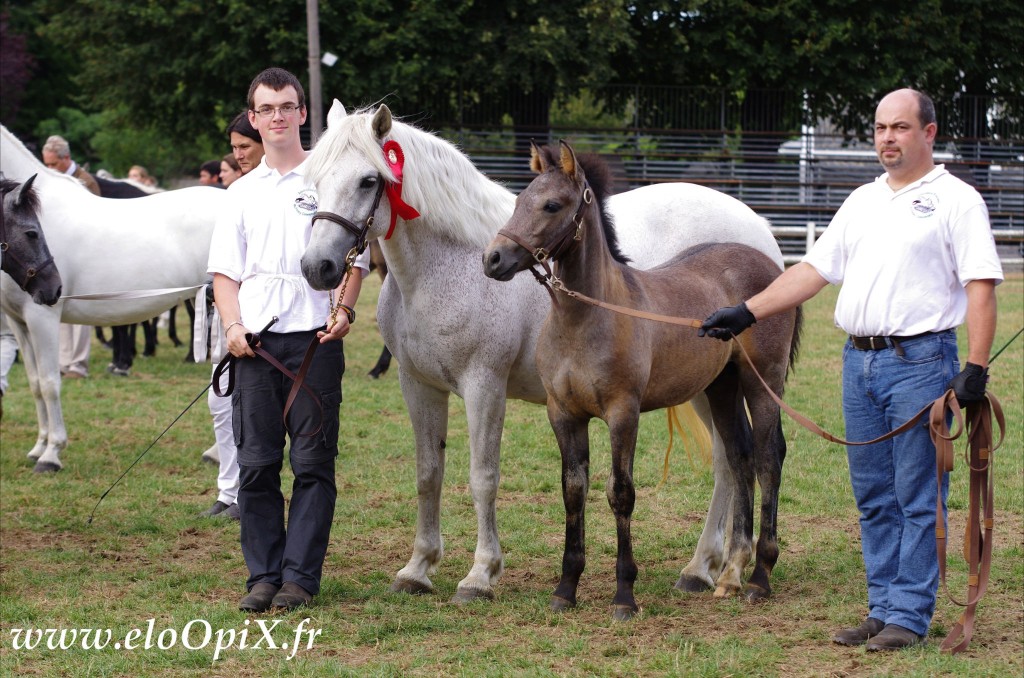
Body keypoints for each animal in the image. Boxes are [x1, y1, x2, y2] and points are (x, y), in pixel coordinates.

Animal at [299, 104, 778, 606]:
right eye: (314, 180)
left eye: (369, 180)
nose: (317, 267)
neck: (446, 268)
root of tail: (758, 230)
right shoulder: (419, 385)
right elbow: (428, 473)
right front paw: (418, 568)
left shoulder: (484, 386)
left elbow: (483, 477)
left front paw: (480, 574)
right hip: (710, 383)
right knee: (730, 459)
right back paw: (709, 566)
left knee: (729, 461)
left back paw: (708, 566)